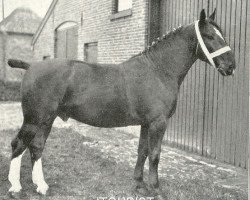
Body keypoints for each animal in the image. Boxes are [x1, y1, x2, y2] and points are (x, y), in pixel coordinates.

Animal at [6, 9, 235, 198]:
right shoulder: (158, 123)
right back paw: (16, 188)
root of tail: (31, 65)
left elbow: (142, 151)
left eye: (221, 33)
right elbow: (155, 154)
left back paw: (41, 186)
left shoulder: (146, 123)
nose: (231, 66)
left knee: (36, 146)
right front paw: (156, 189)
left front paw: (139, 185)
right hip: (34, 119)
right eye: (209, 36)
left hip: (47, 119)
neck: (158, 70)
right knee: (19, 144)